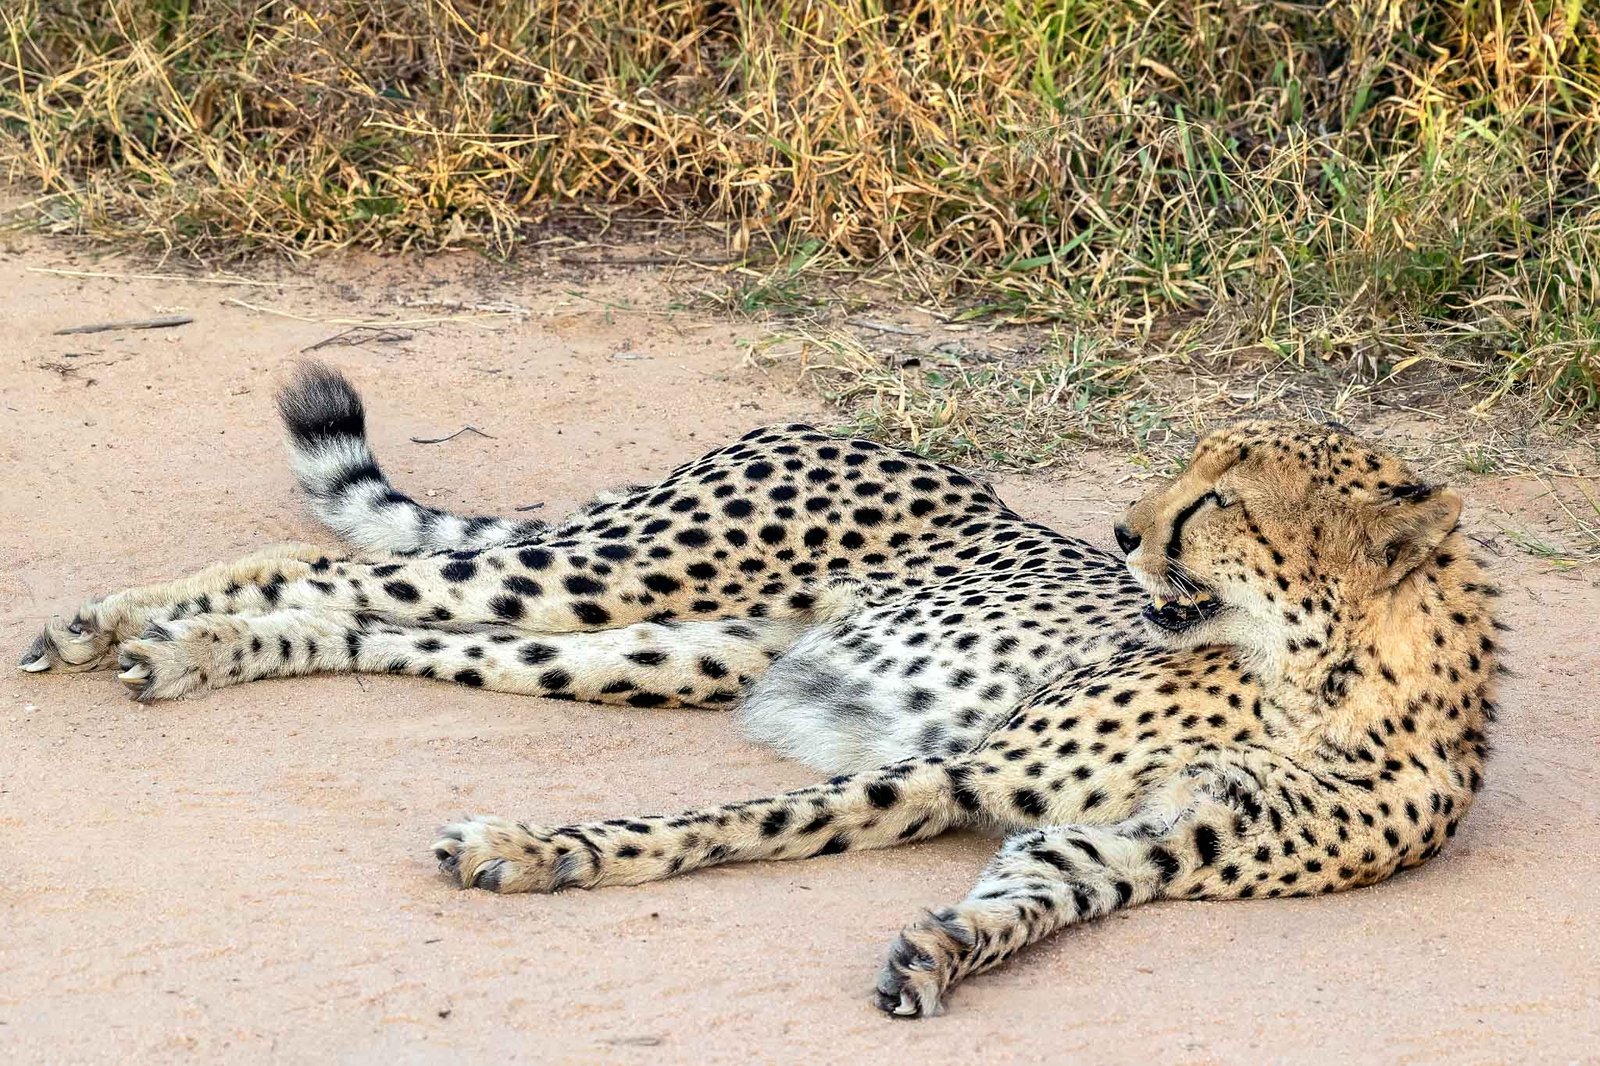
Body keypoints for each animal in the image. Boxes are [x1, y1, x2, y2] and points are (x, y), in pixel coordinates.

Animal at [19, 362, 1500, 1017]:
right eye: (1190, 474)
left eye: (1219, 499)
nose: (1126, 531)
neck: (1324, 681)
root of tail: (831, 427)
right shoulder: (968, 767)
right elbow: (728, 823)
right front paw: (541, 846)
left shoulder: (1117, 847)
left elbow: (1027, 902)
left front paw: (942, 950)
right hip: (626, 566)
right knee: (352, 567)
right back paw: (126, 623)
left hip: (662, 645)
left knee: (377, 620)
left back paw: (191, 644)